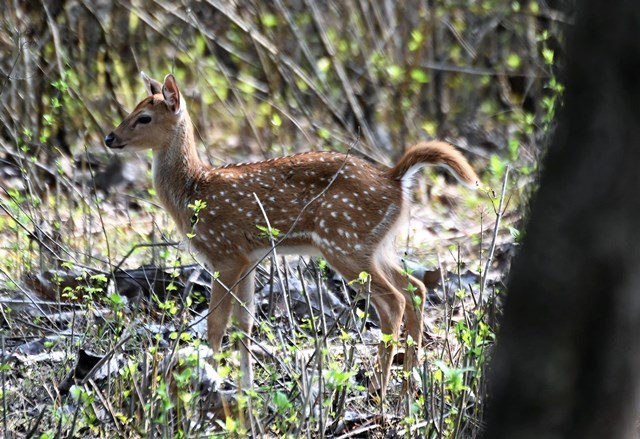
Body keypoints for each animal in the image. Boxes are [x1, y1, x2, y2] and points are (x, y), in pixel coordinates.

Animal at [104, 73, 479, 399]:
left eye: (144, 117)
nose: (110, 138)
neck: (194, 192)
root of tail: (395, 180)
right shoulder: (249, 258)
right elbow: (244, 323)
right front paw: (245, 390)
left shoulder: (225, 252)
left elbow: (216, 324)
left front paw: (208, 380)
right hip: (377, 245)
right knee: (414, 289)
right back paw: (406, 388)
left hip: (344, 242)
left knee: (394, 300)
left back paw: (381, 390)